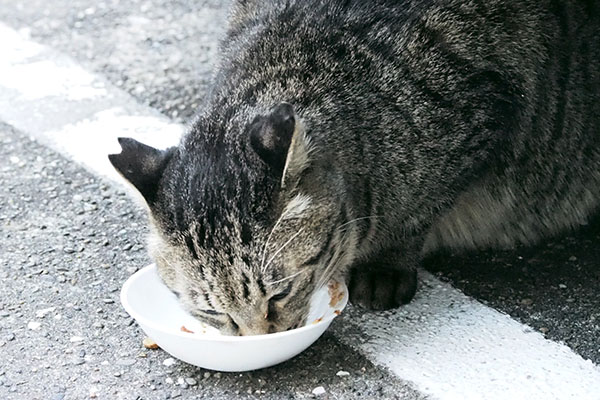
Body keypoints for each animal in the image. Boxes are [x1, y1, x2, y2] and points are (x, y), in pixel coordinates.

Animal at [109, 0, 600, 336]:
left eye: (279, 295)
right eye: (214, 313)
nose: (258, 337)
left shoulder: (480, 119)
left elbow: (417, 212)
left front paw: (387, 263)